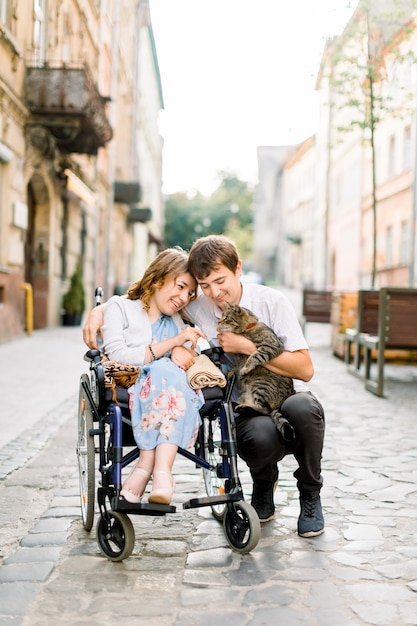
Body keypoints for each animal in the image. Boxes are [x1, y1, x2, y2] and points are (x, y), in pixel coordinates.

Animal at [218, 302, 296, 438]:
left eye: (226, 317)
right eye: (222, 316)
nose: (219, 321)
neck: (247, 329)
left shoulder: (270, 346)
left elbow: (254, 356)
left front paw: (245, 368)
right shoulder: (239, 359)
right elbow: (236, 365)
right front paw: (232, 372)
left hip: (261, 384)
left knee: (264, 410)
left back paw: (243, 408)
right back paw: (236, 405)